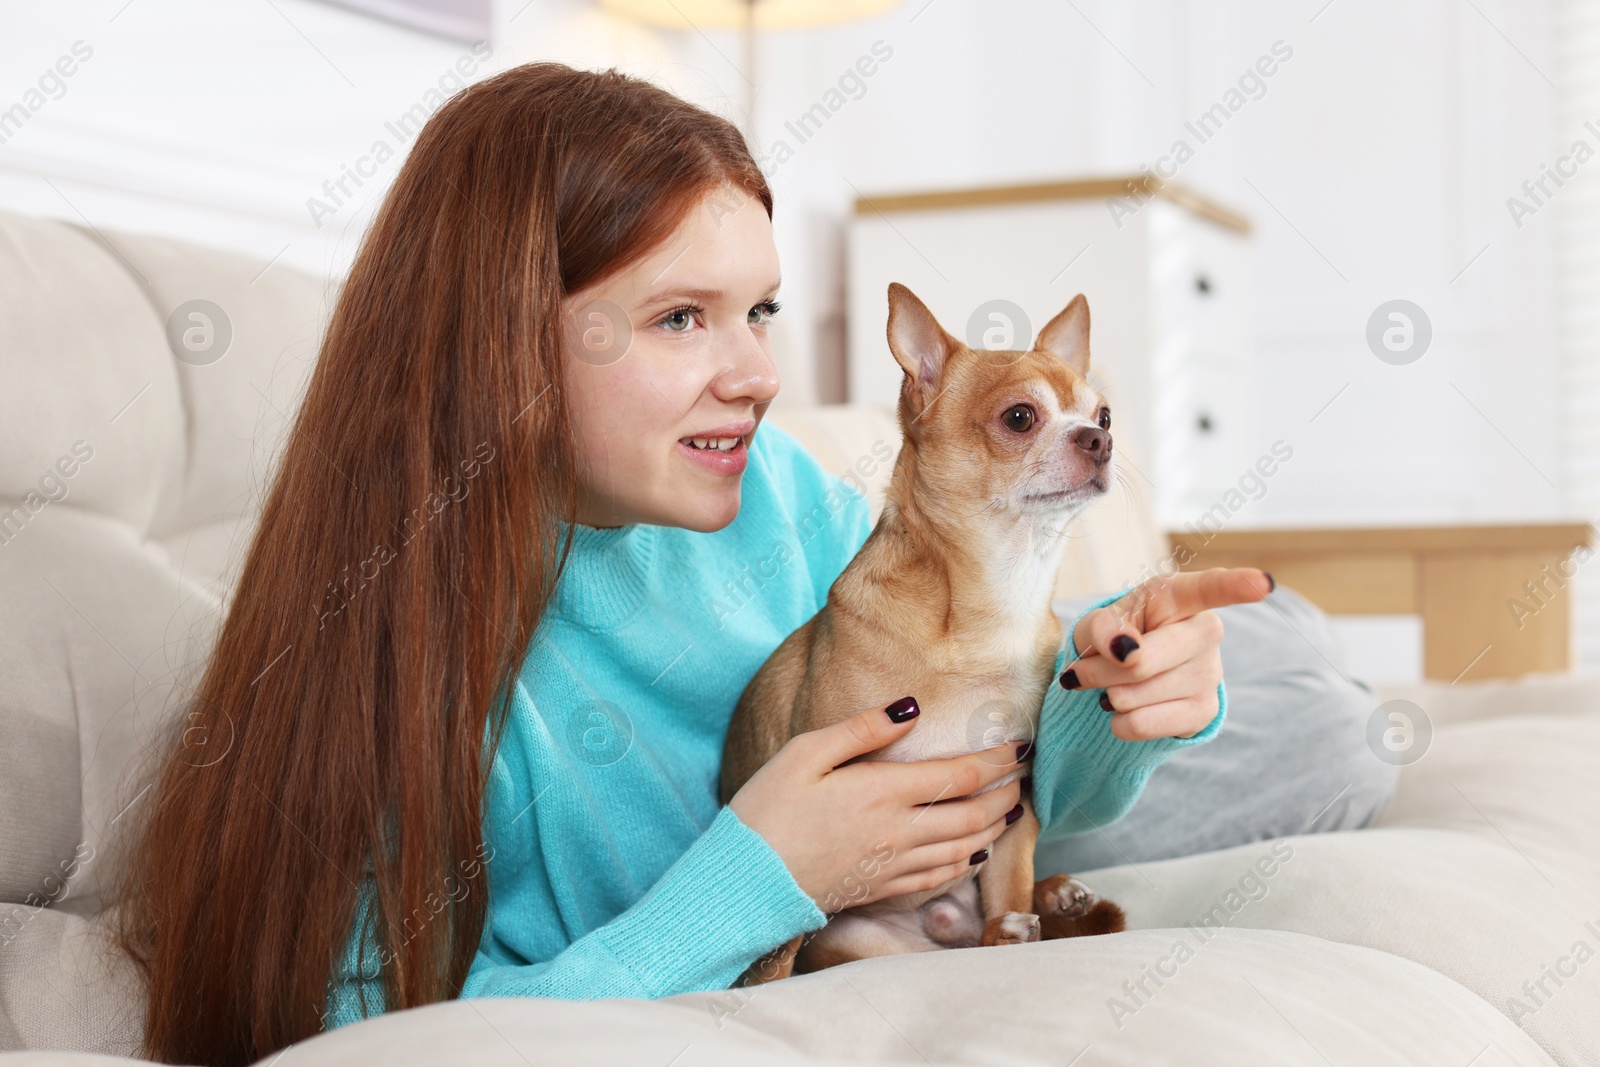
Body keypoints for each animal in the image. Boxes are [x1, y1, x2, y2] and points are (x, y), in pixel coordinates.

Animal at [726, 281, 1126, 985]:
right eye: (1019, 417)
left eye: (1103, 416)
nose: (1098, 441)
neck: (997, 601)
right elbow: (779, 950)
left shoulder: (1014, 807)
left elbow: (1010, 882)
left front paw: (1021, 914)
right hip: (863, 941)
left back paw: (1051, 897)